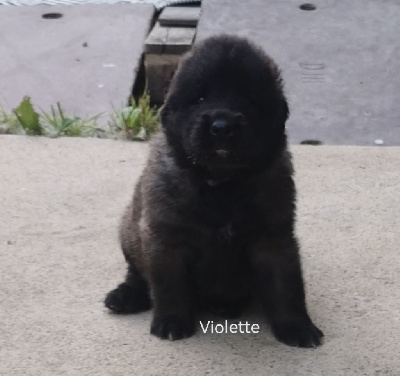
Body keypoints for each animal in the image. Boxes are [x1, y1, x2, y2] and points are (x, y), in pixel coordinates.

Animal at [104, 34, 324, 346]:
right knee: (137, 274)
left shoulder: (274, 239)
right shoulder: (167, 239)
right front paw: (172, 321)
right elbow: (169, 285)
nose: (222, 126)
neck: (223, 183)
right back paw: (125, 296)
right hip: (129, 231)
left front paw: (297, 326)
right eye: (199, 98)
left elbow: (287, 288)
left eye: (249, 99)